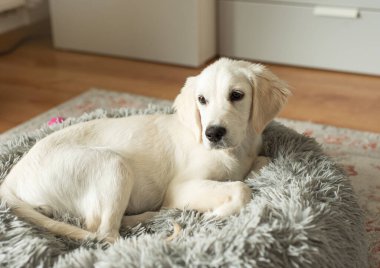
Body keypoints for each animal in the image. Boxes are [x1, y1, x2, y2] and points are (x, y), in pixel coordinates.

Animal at [0, 58, 290, 243]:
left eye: (237, 95)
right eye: (202, 100)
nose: (212, 133)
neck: (237, 150)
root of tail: (10, 180)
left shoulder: (255, 155)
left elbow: (260, 163)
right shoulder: (179, 187)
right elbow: (240, 188)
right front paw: (216, 214)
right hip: (113, 164)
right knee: (104, 234)